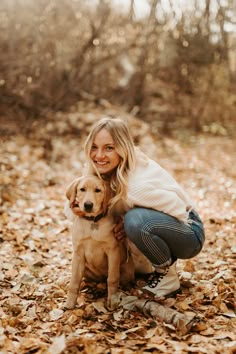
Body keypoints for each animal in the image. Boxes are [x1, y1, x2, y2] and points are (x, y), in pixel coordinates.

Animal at [64, 176, 135, 308]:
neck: (92, 221)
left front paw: (112, 300)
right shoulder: (78, 254)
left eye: (98, 190)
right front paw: (70, 303)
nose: (88, 205)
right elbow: (74, 281)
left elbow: (112, 278)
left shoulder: (113, 251)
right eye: (82, 189)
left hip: (127, 270)